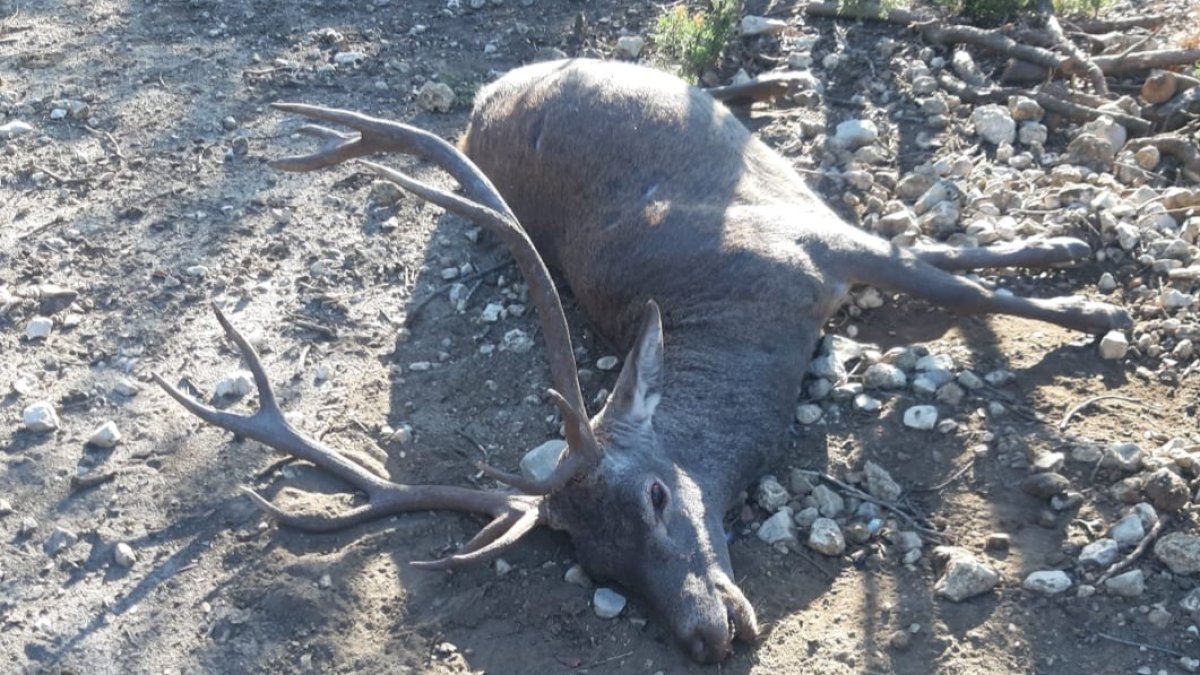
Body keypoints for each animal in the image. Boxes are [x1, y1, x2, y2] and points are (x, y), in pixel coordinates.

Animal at [154, 59, 1131, 664]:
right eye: (600, 568)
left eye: (659, 495)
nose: (704, 636)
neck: (745, 322)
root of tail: (489, 92)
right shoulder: (816, 249)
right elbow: (952, 267)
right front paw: (1081, 265)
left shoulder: (815, 242)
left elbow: (963, 280)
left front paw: (1091, 290)